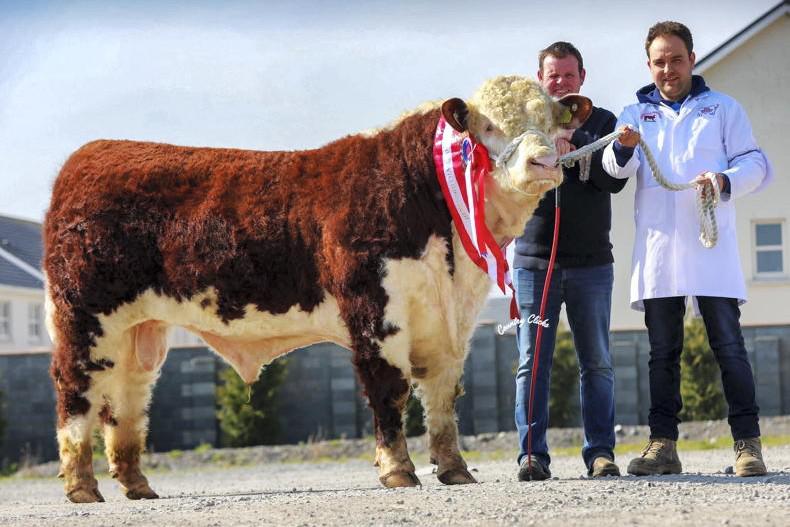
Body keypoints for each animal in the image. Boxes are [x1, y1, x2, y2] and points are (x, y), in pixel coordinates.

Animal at [43, 75, 591, 503]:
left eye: (552, 123)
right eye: (490, 127)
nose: (544, 163)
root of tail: (88, 157)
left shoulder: (450, 320)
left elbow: (442, 395)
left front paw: (455, 470)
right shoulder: (374, 309)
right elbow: (388, 389)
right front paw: (398, 471)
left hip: (141, 331)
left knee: (127, 401)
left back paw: (137, 485)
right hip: (83, 318)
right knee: (76, 391)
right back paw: (81, 487)